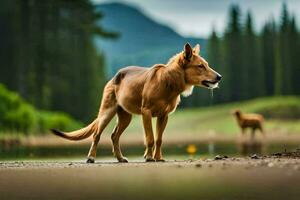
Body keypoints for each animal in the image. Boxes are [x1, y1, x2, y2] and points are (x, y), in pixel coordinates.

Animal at [51, 43, 220, 162]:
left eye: (206, 64)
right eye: (200, 66)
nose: (219, 77)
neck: (168, 82)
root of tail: (114, 77)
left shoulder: (164, 116)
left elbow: (159, 139)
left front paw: (158, 158)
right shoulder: (146, 112)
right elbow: (150, 138)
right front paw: (149, 157)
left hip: (126, 116)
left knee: (114, 136)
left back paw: (120, 158)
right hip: (106, 112)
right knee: (96, 135)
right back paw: (91, 157)